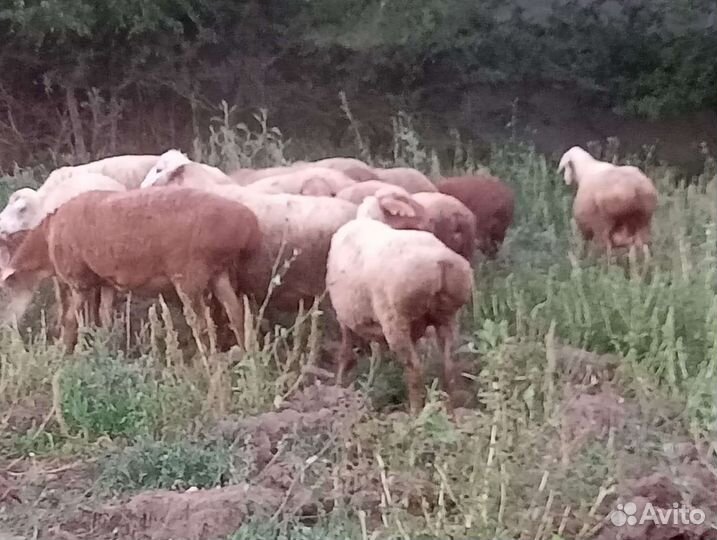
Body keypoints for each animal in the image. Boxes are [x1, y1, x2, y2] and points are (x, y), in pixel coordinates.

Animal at [0, 187, 260, 352]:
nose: (6, 326)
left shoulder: (79, 281)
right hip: (218, 272)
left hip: (189, 275)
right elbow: (104, 317)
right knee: (236, 314)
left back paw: (208, 364)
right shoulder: (105, 282)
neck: (47, 240)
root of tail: (248, 223)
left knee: (203, 326)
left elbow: (70, 321)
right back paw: (247, 353)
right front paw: (106, 348)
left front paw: (63, 352)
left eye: (5, 289)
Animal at [326, 188, 473, 414]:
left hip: (396, 320)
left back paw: (415, 413)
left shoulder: (345, 317)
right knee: (449, 365)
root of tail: (440, 263)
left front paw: (340, 386)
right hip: (447, 317)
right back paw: (451, 409)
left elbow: (346, 351)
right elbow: (375, 354)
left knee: (414, 369)